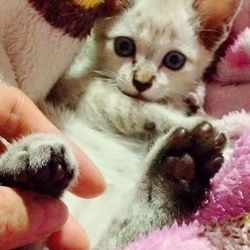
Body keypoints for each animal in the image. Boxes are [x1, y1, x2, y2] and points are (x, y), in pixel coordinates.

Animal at [0, 0, 240, 249]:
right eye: (124, 46)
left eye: (174, 60)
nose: (141, 82)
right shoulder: (83, 92)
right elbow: (136, 109)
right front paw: (208, 123)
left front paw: (191, 105)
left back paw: (176, 177)